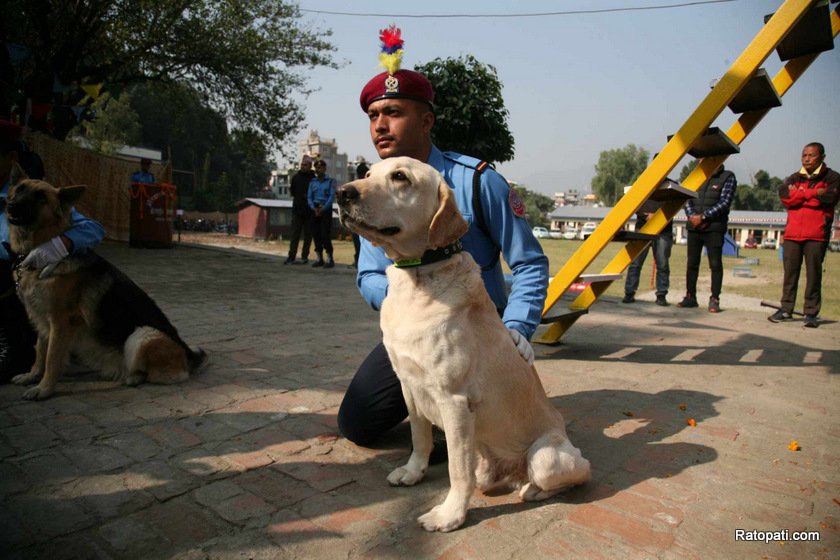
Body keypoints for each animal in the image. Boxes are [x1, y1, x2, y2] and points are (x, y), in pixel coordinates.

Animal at [3, 164, 207, 400]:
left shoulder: (61, 322)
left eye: (40, 196)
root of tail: (187, 353)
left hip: (142, 334)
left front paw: (44, 389)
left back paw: (132, 378)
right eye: (19, 189)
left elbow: (52, 358)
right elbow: (40, 352)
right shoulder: (42, 320)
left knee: (154, 373)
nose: (10, 205)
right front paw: (31, 376)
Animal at [336, 156, 592, 528]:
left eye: (400, 177)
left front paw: (449, 515)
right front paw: (412, 473)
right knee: (482, 472)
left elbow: (457, 471)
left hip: (546, 456)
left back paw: (530, 488)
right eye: (368, 174)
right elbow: (420, 439)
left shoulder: (454, 399)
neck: (416, 279)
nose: (342, 193)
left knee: (570, 475)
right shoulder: (409, 386)